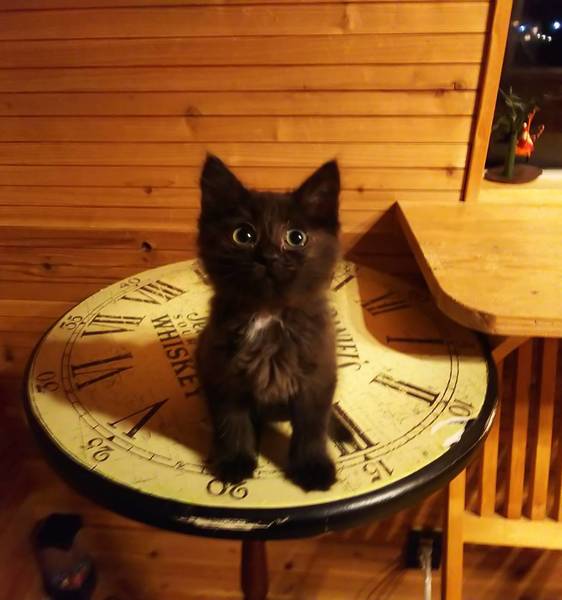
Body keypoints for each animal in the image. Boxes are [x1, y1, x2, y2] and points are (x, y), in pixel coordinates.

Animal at [195, 154, 340, 491]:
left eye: (296, 237)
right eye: (243, 235)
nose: (268, 256)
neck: (268, 314)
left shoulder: (318, 378)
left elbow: (313, 427)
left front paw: (312, 466)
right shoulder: (223, 375)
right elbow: (232, 423)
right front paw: (235, 462)